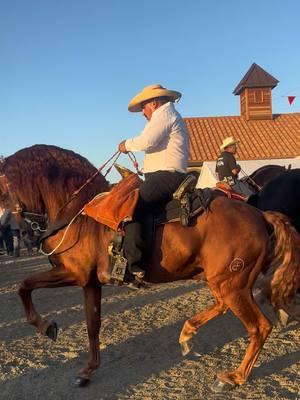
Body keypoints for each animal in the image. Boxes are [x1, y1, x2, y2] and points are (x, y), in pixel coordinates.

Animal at [0, 145, 300, 392]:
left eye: (3, 185)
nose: (24, 233)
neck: (79, 216)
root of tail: (260, 215)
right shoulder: (90, 282)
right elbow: (91, 324)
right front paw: (87, 369)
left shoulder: (75, 275)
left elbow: (25, 286)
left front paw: (45, 326)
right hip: (222, 280)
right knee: (223, 306)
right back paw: (188, 333)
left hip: (232, 285)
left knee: (259, 327)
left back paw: (233, 376)